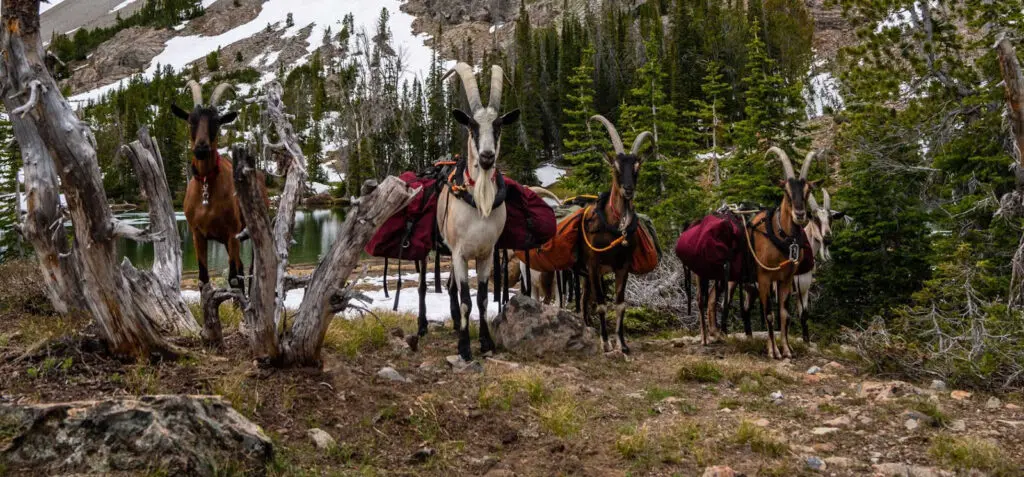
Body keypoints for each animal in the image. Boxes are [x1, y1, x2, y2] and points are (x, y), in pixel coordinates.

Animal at [172, 81, 246, 289]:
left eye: (216, 122)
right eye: (191, 120)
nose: (201, 148)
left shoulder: (232, 233)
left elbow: (233, 278)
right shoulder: (197, 234)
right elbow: (203, 279)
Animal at [436, 63, 519, 361]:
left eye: (498, 126)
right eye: (472, 126)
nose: (486, 156)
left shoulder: (486, 253)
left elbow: (483, 300)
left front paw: (486, 342)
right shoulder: (460, 254)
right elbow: (465, 301)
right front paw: (464, 348)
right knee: (450, 289)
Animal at [580, 115, 653, 354]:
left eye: (637, 167)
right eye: (616, 167)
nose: (628, 189)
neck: (614, 229)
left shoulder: (623, 266)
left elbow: (620, 304)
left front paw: (622, 343)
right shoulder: (594, 264)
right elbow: (602, 304)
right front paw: (605, 342)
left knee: (584, 298)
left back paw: (587, 326)